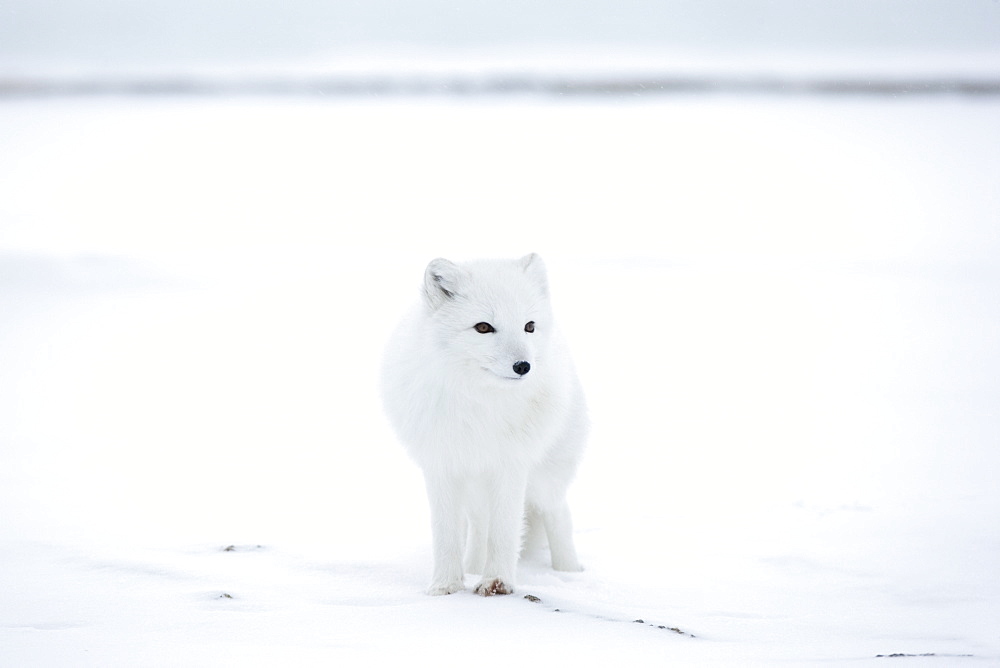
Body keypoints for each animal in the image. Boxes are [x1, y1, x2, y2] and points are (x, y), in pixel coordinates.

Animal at [380, 254, 584, 596]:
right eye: (484, 327)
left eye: (529, 326)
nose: (523, 366)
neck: (480, 404)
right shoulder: (441, 466)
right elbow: (446, 532)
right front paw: (446, 585)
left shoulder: (511, 465)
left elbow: (504, 530)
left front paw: (497, 581)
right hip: (475, 489)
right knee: (478, 527)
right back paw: (473, 566)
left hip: (545, 479)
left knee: (559, 513)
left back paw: (569, 574)